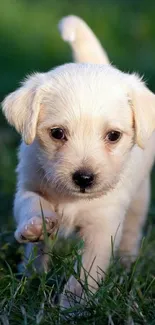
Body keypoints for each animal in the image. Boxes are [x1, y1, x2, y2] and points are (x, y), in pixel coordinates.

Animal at [1, 15, 155, 306]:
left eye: (113, 136)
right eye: (57, 133)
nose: (84, 178)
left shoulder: (103, 227)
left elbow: (87, 270)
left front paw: (73, 306)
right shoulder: (28, 185)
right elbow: (30, 203)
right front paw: (35, 225)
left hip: (140, 197)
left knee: (132, 230)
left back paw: (127, 262)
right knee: (37, 255)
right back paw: (31, 272)